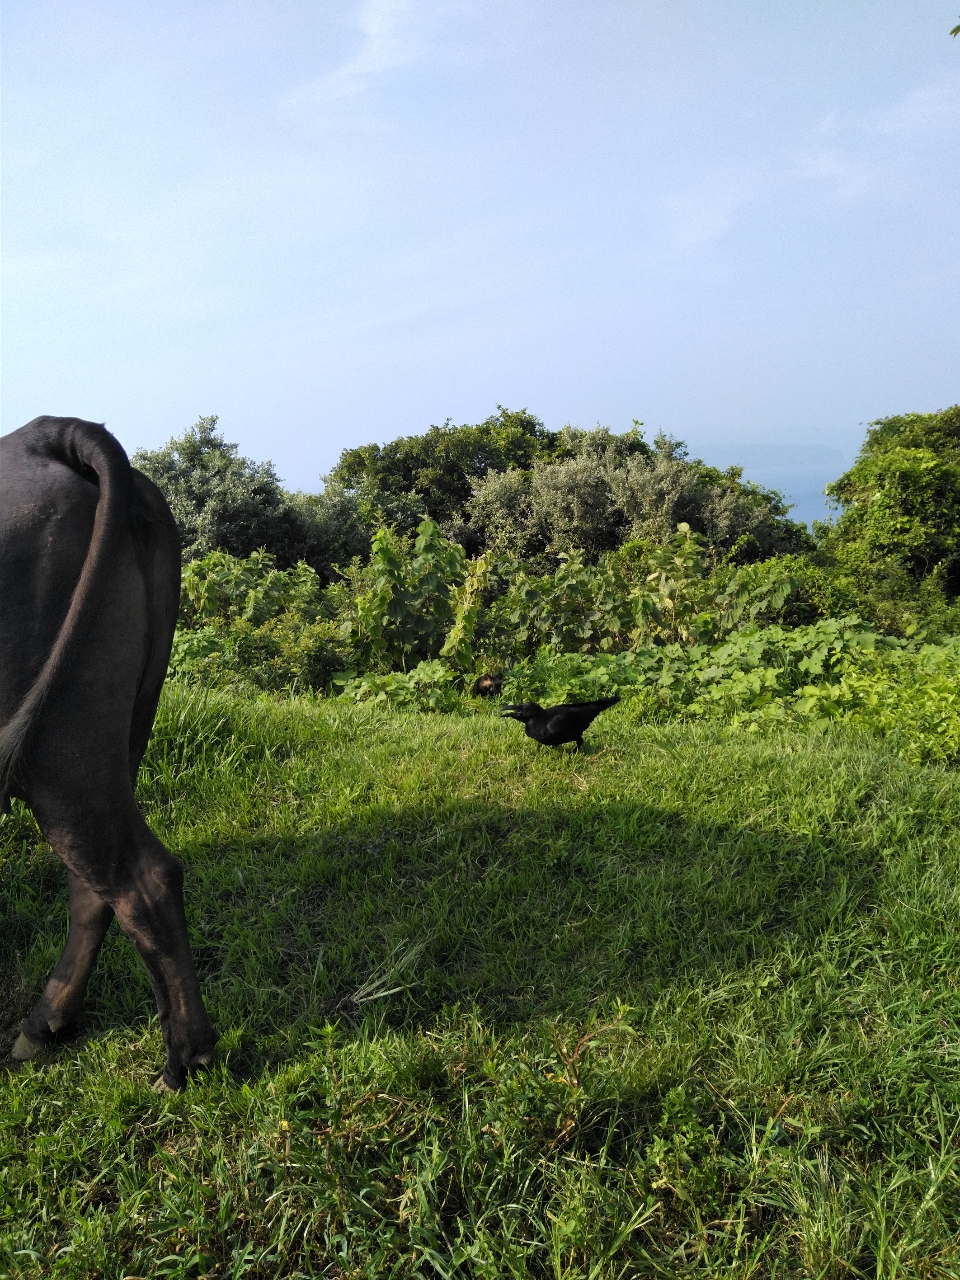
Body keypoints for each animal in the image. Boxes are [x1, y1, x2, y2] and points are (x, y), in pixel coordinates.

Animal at [1, 417, 216, 1090]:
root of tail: (45, 434)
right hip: (117, 727)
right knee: (93, 881)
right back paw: (45, 1025)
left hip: (60, 745)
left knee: (140, 877)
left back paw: (183, 1060)